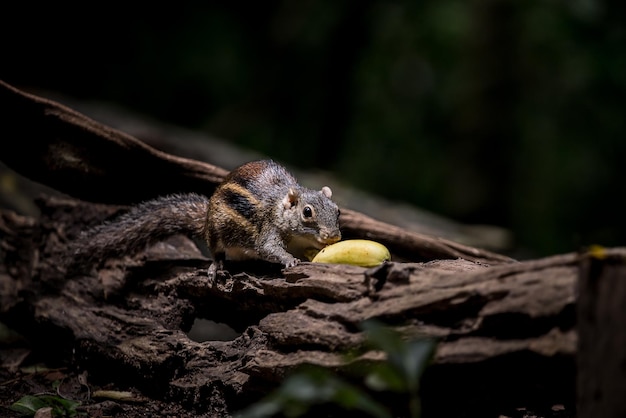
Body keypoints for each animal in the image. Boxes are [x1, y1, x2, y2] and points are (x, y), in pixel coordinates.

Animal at [67, 159, 342, 278]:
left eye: (337, 210)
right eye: (307, 212)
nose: (334, 236)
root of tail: (206, 218)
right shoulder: (268, 229)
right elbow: (268, 248)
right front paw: (289, 260)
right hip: (218, 233)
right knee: (216, 252)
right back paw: (216, 266)